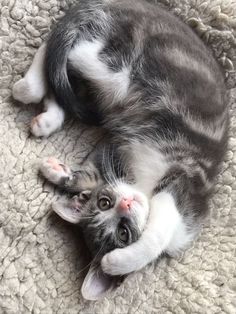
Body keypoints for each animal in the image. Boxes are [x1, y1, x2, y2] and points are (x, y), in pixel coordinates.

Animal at [12, 0, 229, 300]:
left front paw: (116, 261)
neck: (144, 189)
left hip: (108, 82)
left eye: (123, 233)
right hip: (117, 71)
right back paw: (34, 86)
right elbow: (156, 231)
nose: (126, 203)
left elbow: (155, 233)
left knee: (66, 70)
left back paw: (44, 112)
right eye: (105, 204)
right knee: (69, 52)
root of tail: (126, 4)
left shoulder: (182, 186)